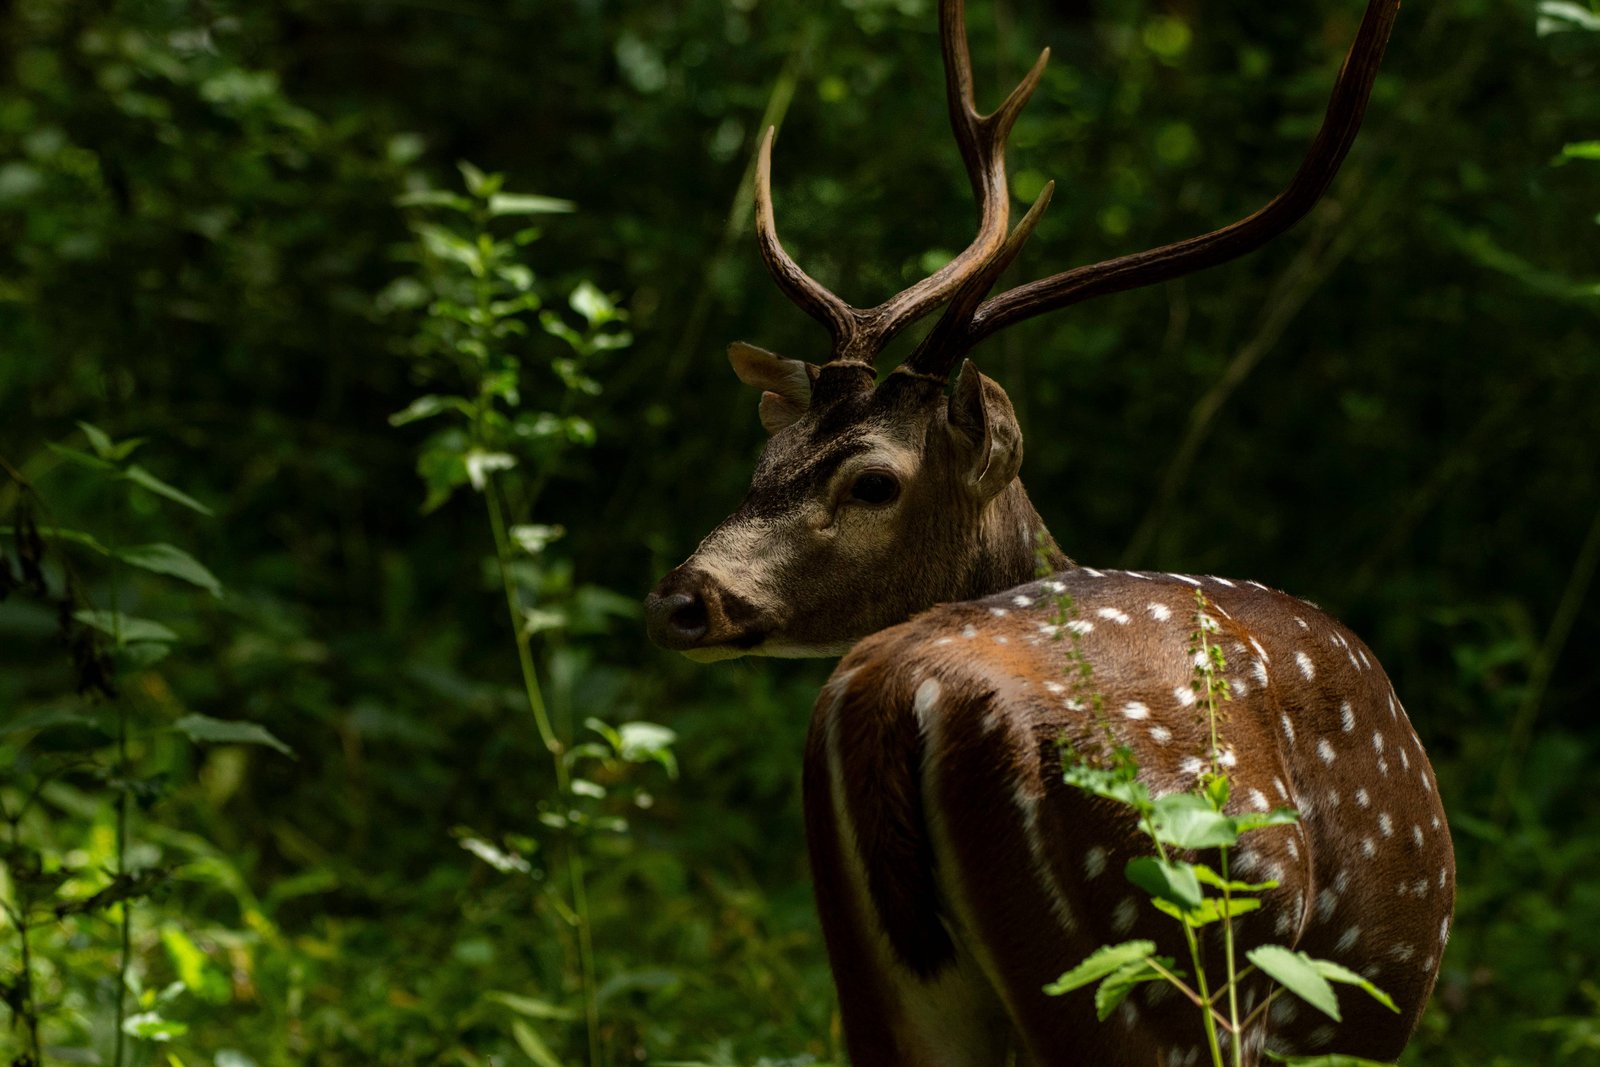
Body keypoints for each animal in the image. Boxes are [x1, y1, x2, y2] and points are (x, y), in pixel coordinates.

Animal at [640, 4, 1452, 1062]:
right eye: (765, 458)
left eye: (872, 480)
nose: (680, 600)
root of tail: (892, 700)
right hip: (1150, 970)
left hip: (881, 988)